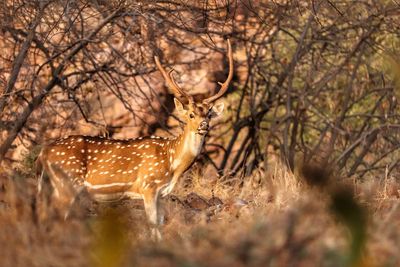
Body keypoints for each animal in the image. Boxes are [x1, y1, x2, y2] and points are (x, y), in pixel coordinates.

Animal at [36, 38, 234, 240]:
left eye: (209, 114)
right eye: (191, 114)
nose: (204, 125)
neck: (172, 161)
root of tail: (43, 153)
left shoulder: (161, 193)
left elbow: (159, 225)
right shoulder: (148, 185)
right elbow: (153, 225)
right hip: (66, 182)